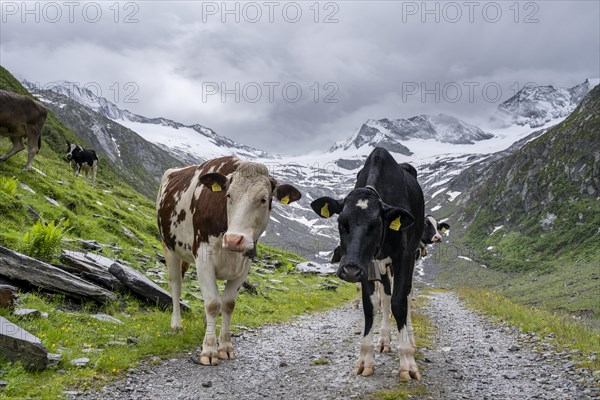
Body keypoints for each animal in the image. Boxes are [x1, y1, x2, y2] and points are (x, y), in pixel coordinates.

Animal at [157, 155, 302, 366]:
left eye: (263, 199)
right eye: (228, 196)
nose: (234, 239)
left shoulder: (245, 263)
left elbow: (227, 304)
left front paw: (225, 347)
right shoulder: (203, 257)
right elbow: (212, 303)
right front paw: (209, 350)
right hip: (169, 248)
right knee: (176, 285)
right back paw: (176, 325)